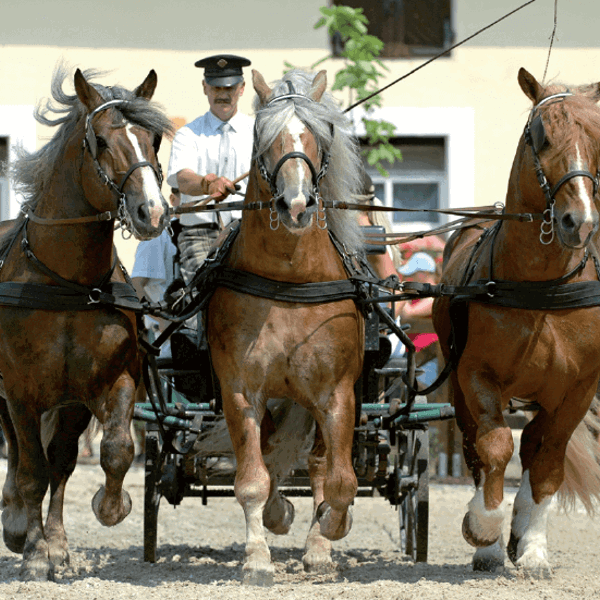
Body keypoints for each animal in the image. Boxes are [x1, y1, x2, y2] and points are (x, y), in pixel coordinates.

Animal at [0, 67, 172, 580]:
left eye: (154, 138)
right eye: (99, 140)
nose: (153, 212)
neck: (71, 284)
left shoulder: (107, 383)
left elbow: (113, 451)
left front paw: (105, 511)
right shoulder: (22, 391)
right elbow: (31, 471)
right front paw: (35, 552)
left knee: (57, 459)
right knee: (19, 454)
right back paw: (19, 526)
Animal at [206, 68, 364, 584]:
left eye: (319, 134)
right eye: (264, 137)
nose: (296, 205)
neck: (290, 280)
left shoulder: (338, 393)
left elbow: (340, 481)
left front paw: (331, 527)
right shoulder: (241, 390)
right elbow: (254, 479)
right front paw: (258, 553)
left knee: (318, 465)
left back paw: (318, 545)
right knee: (273, 454)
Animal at [434, 68, 600, 580]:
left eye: (596, 136)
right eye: (541, 135)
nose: (579, 222)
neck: (541, 289)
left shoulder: (577, 389)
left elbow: (547, 463)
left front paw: (533, 550)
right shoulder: (476, 376)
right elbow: (493, 449)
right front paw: (483, 530)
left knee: (533, 448)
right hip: (458, 385)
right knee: (475, 447)